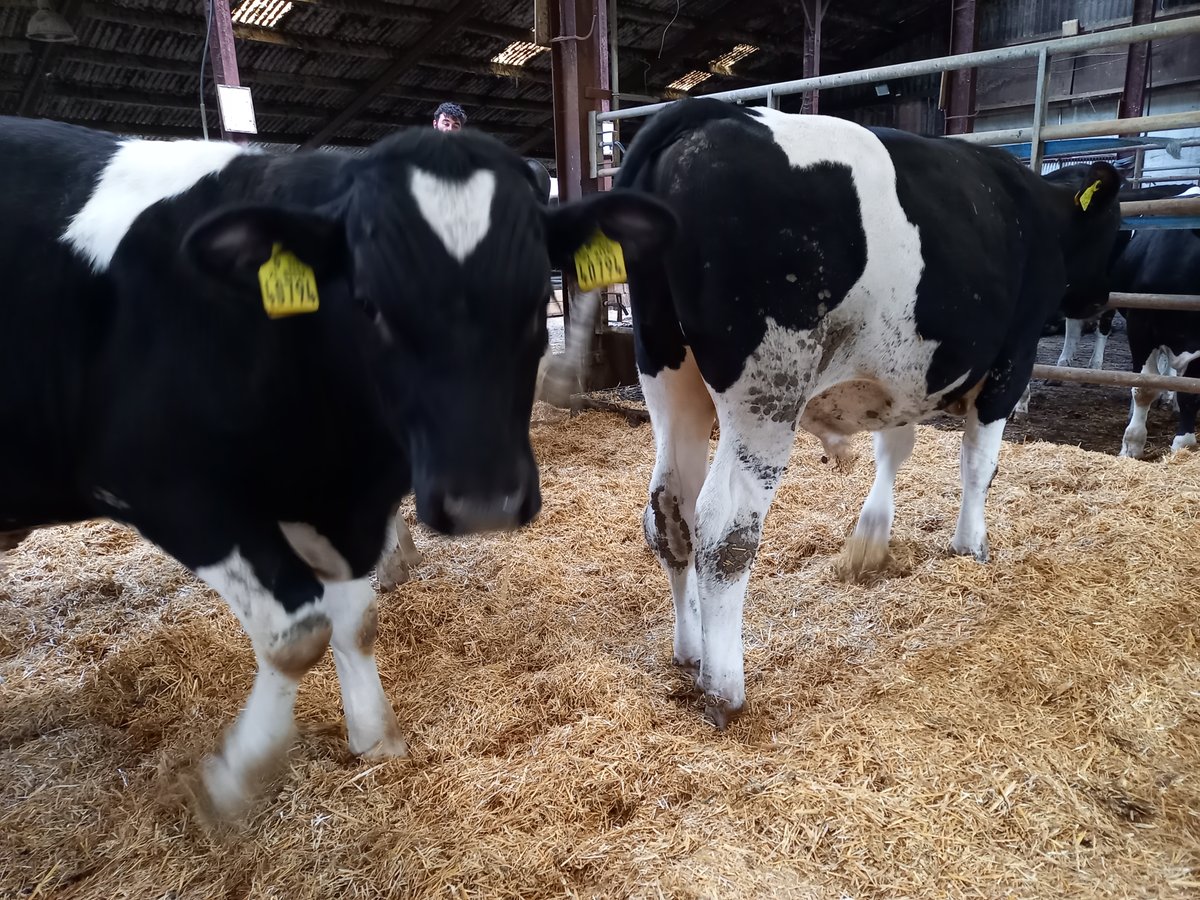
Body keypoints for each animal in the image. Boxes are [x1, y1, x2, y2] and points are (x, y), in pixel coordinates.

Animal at [0, 117, 674, 817]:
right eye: (368, 303)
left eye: (538, 296)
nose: (484, 501)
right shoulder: (161, 486)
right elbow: (297, 632)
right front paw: (234, 778)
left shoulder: (342, 502)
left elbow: (355, 618)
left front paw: (373, 737)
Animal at [606, 98, 1123, 726]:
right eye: (1116, 230)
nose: (1101, 302)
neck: (1042, 215)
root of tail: (703, 114)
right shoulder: (1012, 360)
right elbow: (979, 465)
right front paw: (971, 545)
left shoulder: (901, 378)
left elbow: (894, 447)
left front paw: (872, 537)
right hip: (766, 392)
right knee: (724, 529)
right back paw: (724, 685)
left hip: (667, 373)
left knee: (668, 510)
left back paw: (690, 647)